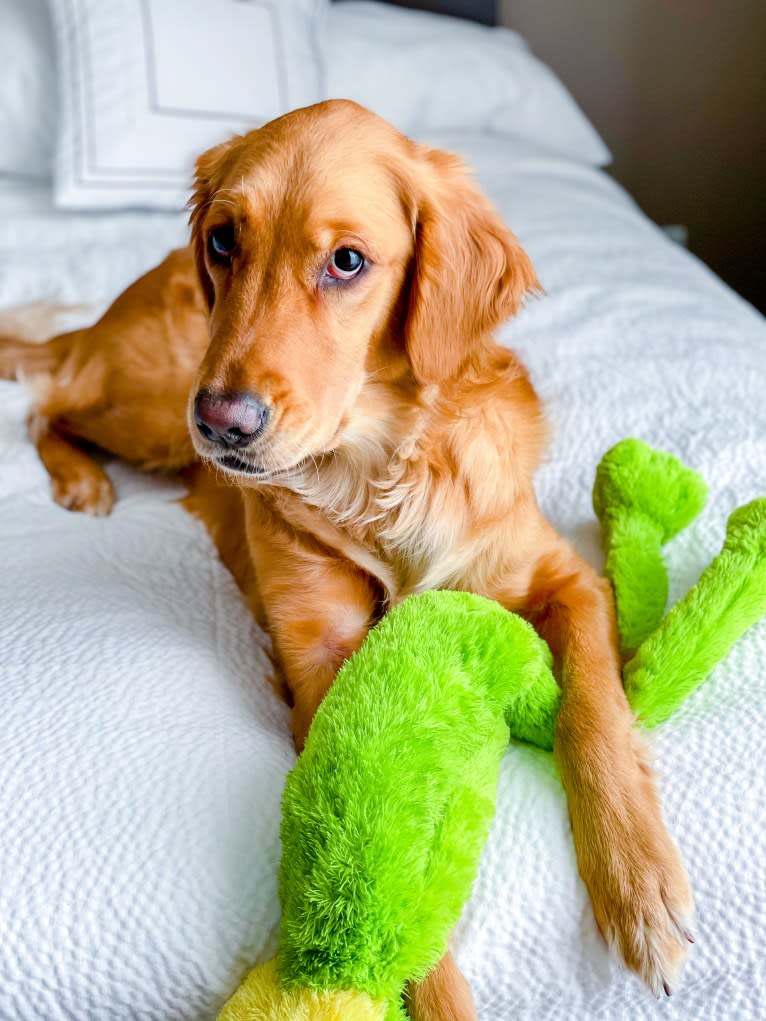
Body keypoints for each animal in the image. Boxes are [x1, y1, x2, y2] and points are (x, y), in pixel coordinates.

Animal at [1, 99, 694, 1016]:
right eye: (224, 240)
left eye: (347, 261)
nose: (224, 422)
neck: (377, 470)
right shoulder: (320, 657)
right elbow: (374, 824)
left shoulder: (567, 578)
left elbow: (597, 710)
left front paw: (641, 885)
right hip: (157, 407)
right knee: (48, 403)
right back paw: (82, 480)